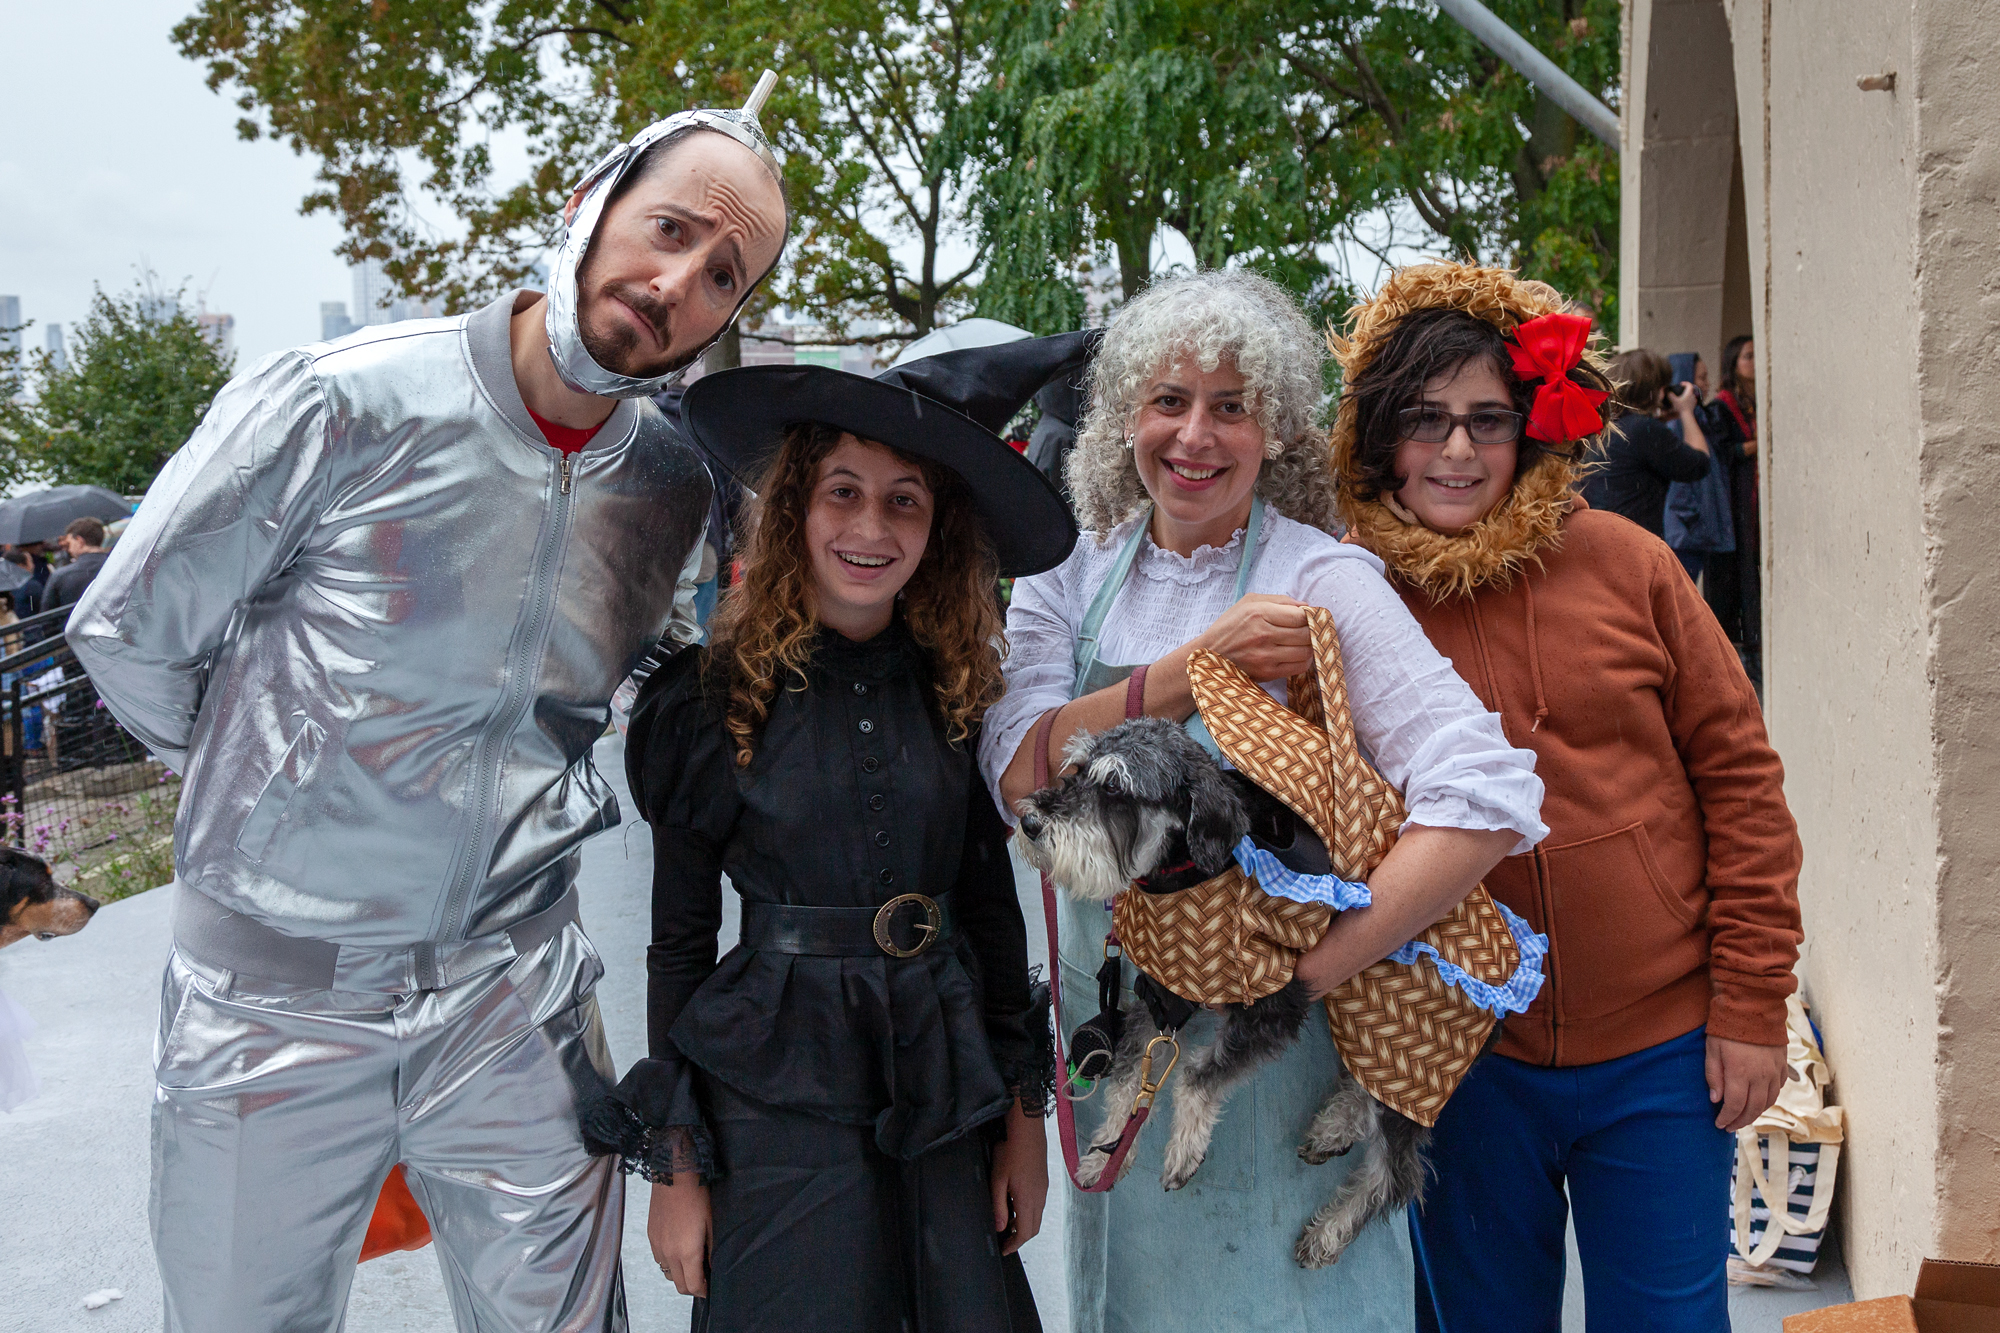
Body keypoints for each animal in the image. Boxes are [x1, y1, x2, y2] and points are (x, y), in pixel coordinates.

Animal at [1016, 716, 1440, 1264]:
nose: (1029, 822)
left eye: (1114, 787)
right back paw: (1334, 1129)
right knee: (1363, 1090)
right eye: (1078, 767)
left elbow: (1198, 1075)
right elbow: (1129, 1077)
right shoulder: (1162, 995)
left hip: (1407, 1054)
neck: (1187, 875)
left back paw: (1329, 1231)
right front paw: (1106, 1153)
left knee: (1397, 1172)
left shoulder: (1272, 1005)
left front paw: (1182, 1150)